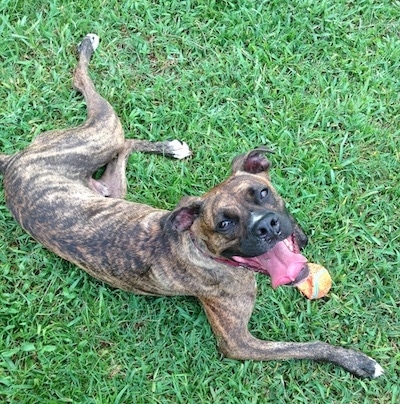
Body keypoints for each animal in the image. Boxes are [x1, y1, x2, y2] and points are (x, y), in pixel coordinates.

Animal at [0, 35, 382, 378]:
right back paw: (87, 48)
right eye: (224, 224)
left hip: (111, 185)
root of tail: (13, 161)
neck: (203, 250)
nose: (266, 225)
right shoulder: (240, 343)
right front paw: (358, 363)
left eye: (261, 193)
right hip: (99, 133)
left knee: (124, 146)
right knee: (86, 90)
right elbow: (308, 346)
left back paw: (170, 147)